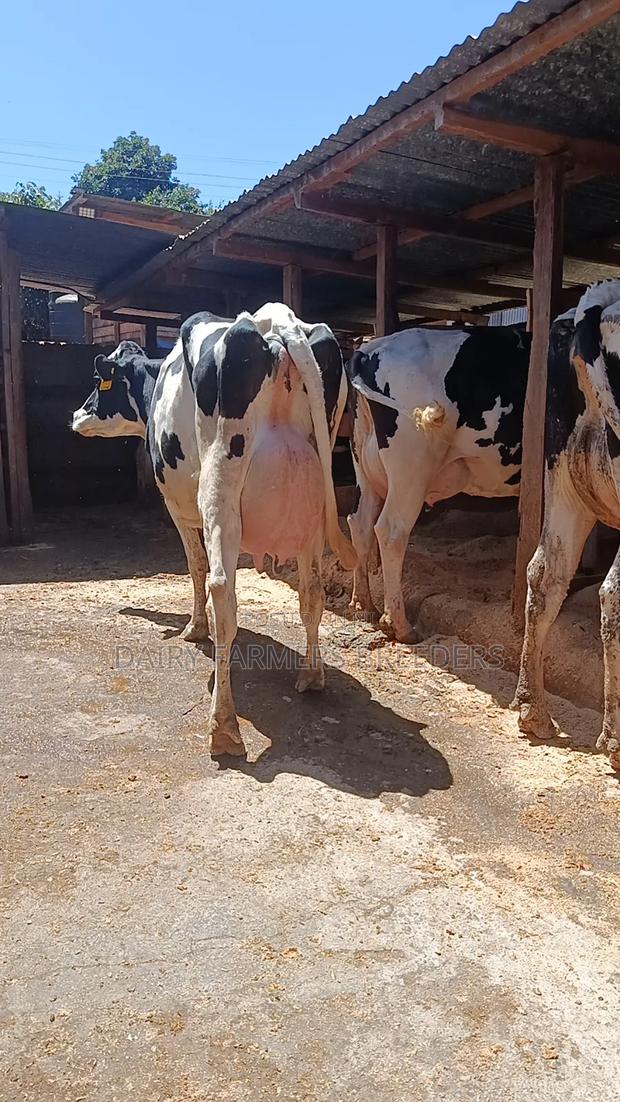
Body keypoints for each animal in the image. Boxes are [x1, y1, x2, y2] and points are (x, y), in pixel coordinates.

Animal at [180, 303, 355, 756]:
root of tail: (279, 322)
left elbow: (197, 568)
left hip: (219, 488)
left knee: (223, 592)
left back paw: (223, 727)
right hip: (313, 508)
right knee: (312, 591)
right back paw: (312, 677)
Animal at [346, 326, 530, 642]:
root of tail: (370, 348)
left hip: (365, 466)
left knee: (360, 523)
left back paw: (363, 603)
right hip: (411, 467)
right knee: (390, 531)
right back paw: (400, 625)